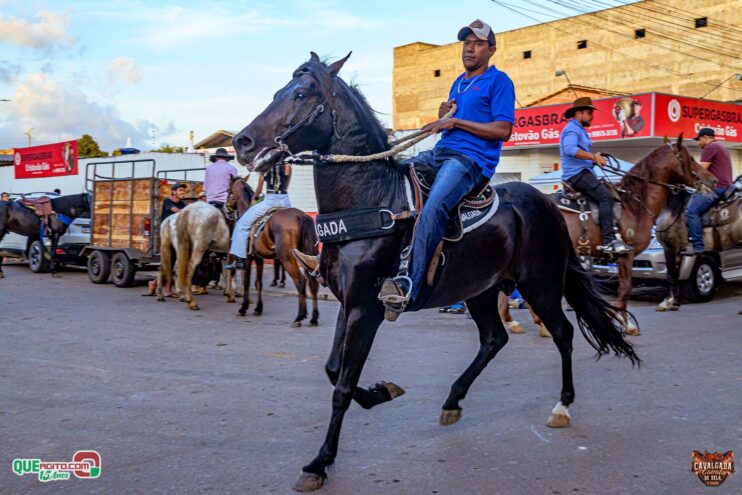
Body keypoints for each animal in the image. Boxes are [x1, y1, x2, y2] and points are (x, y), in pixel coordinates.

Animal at [228, 177, 320, 326]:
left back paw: (299, 317)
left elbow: (246, 282)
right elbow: (258, 283)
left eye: (228, 190)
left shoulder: (248, 258)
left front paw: (243, 308)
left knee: (301, 282)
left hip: (287, 259)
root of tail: (301, 216)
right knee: (312, 283)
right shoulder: (258, 258)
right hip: (307, 257)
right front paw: (258, 308)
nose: (226, 208)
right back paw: (313, 317)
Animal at [499, 138, 717, 336]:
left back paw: (517, 322)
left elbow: (622, 288)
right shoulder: (627, 253)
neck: (634, 204)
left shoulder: (620, 258)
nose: (712, 180)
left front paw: (623, 322)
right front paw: (622, 322)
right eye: (689, 158)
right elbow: (625, 289)